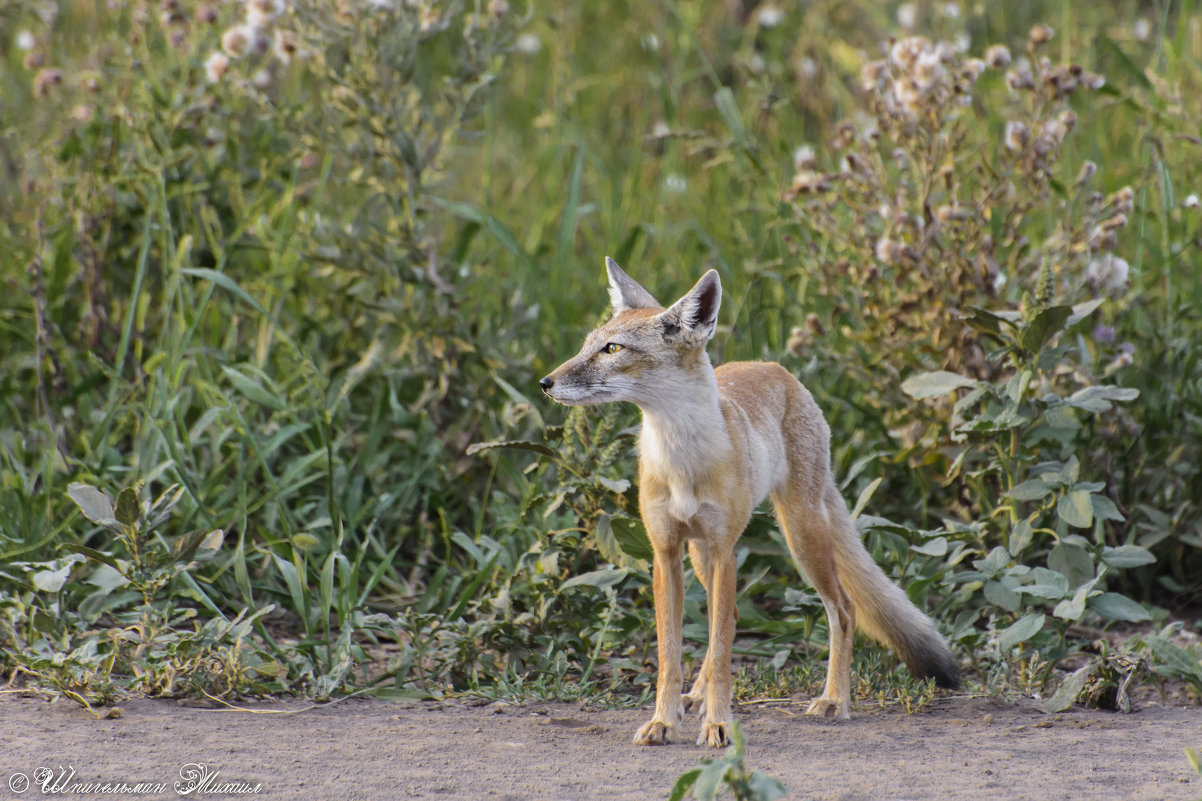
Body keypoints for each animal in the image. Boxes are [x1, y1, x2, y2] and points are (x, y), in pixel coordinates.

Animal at [538, 258, 956, 745]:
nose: (545, 382)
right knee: (734, 615)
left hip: (799, 534)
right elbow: (670, 656)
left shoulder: (724, 551)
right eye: (586, 345)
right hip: (703, 555)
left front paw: (719, 724)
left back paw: (834, 698)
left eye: (612, 348)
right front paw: (664, 720)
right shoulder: (666, 553)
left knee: (843, 609)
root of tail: (777, 369)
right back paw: (696, 698)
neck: (682, 463)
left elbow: (721, 652)